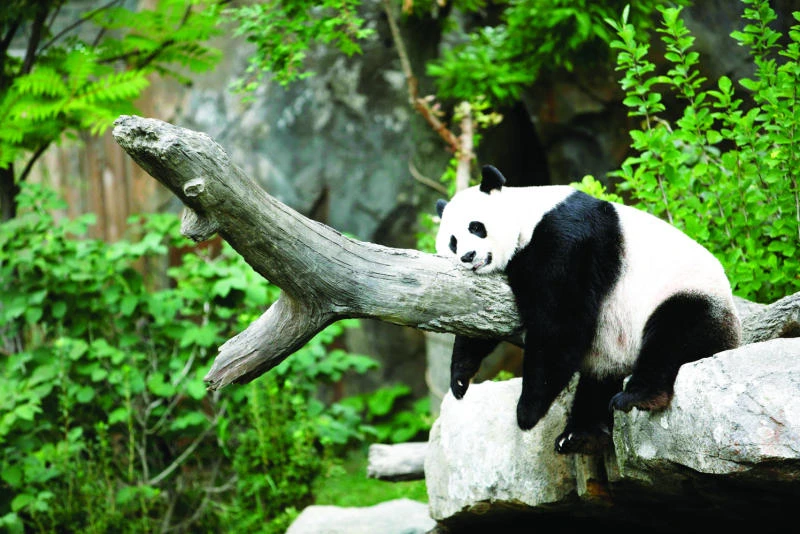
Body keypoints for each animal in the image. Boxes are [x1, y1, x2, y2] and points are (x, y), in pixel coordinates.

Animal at [435, 164, 741, 454]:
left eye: (476, 227)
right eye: (452, 241)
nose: (468, 256)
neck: (527, 216)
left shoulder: (567, 239)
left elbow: (559, 321)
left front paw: (527, 412)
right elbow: (481, 318)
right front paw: (460, 378)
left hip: (688, 295)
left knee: (673, 335)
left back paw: (637, 397)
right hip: (612, 350)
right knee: (598, 381)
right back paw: (580, 435)